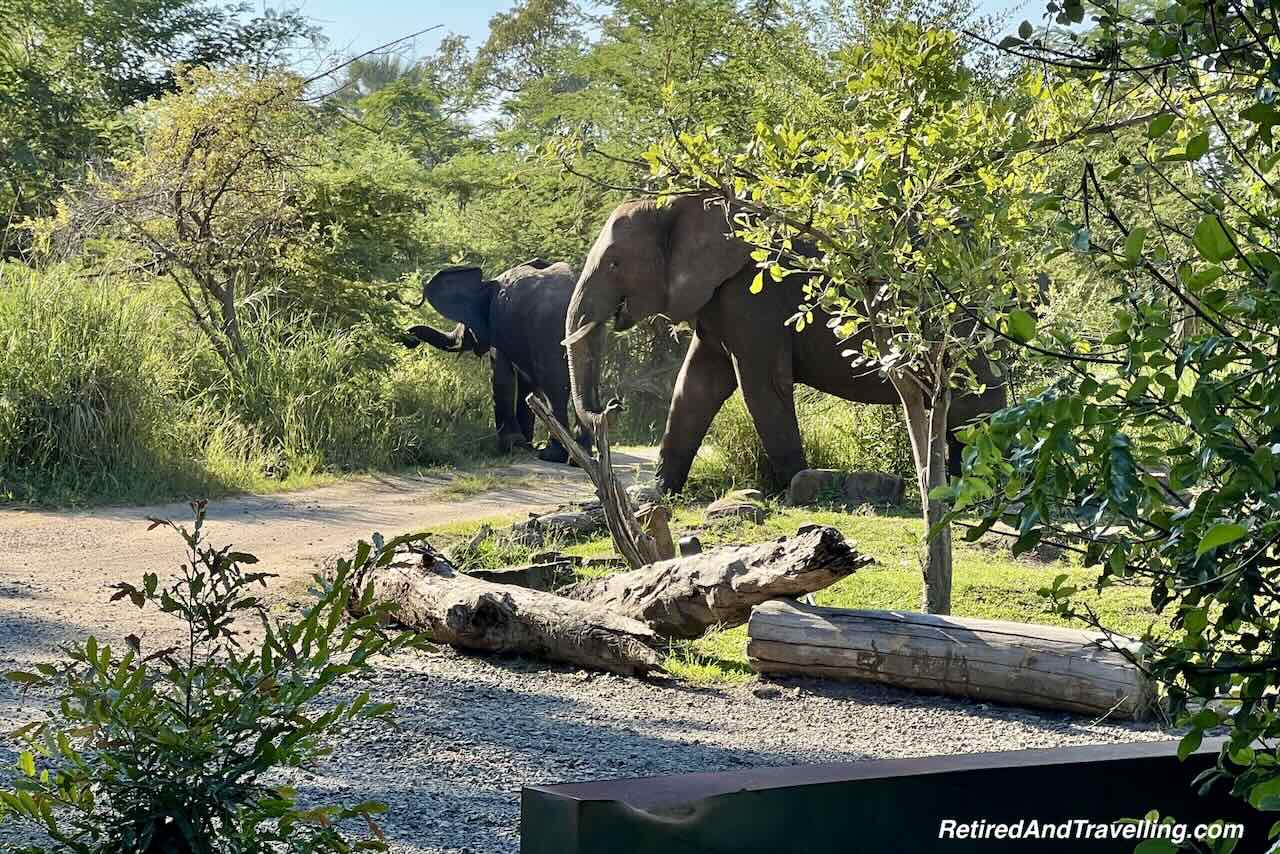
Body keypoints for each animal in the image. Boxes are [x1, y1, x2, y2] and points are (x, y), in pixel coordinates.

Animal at [401, 258, 586, 463]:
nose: (409, 339)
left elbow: (502, 376)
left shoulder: (499, 325)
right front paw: (524, 446)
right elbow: (526, 385)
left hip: (547, 327)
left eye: (466, 324)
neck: (487, 284)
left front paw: (512, 446)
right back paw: (577, 458)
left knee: (554, 386)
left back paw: (552, 455)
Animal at [565, 194, 1003, 494]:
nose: (612, 406)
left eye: (615, 263)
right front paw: (658, 491)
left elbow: (762, 387)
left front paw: (799, 485)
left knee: (973, 411)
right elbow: (695, 386)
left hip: (961, 329)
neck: (680, 202)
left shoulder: (755, 293)